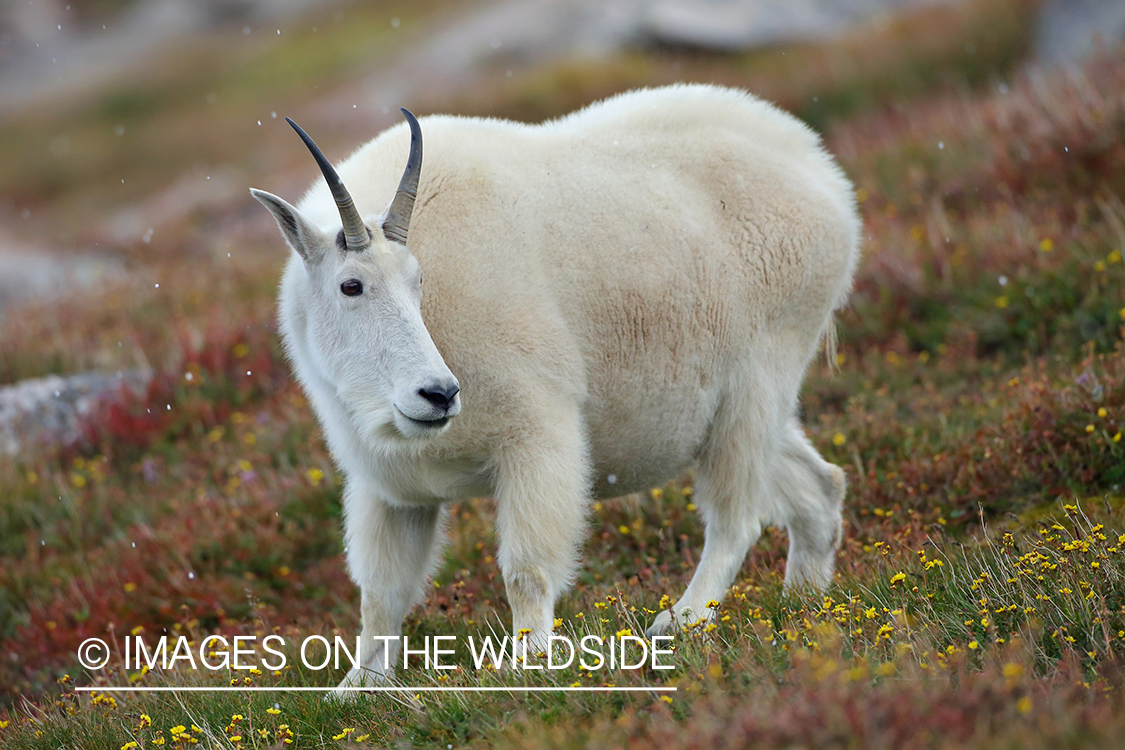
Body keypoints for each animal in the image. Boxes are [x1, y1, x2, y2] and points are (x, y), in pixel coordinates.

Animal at [250, 84, 855, 688]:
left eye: (418, 280)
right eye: (351, 285)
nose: (439, 394)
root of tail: (826, 179)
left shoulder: (536, 431)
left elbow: (527, 568)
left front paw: (527, 663)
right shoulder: (391, 487)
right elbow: (380, 593)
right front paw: (356, 688)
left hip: (761, 373)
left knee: (735, 519)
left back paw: (680, 622)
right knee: (819, 484)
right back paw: (805, 603)